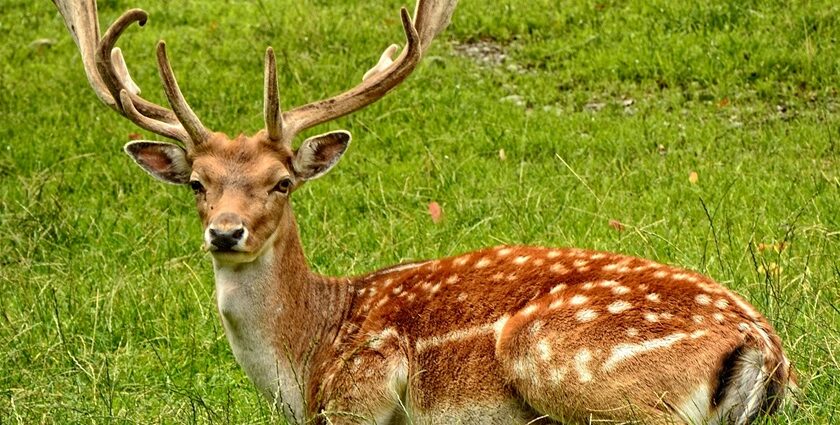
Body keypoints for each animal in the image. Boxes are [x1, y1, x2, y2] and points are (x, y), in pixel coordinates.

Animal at [54, 0, 796, 422]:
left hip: (564, 361)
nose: (226, 232)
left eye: (282, 182)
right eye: (197, 183)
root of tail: (766, 350)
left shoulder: (361, 390)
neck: (305, 358)